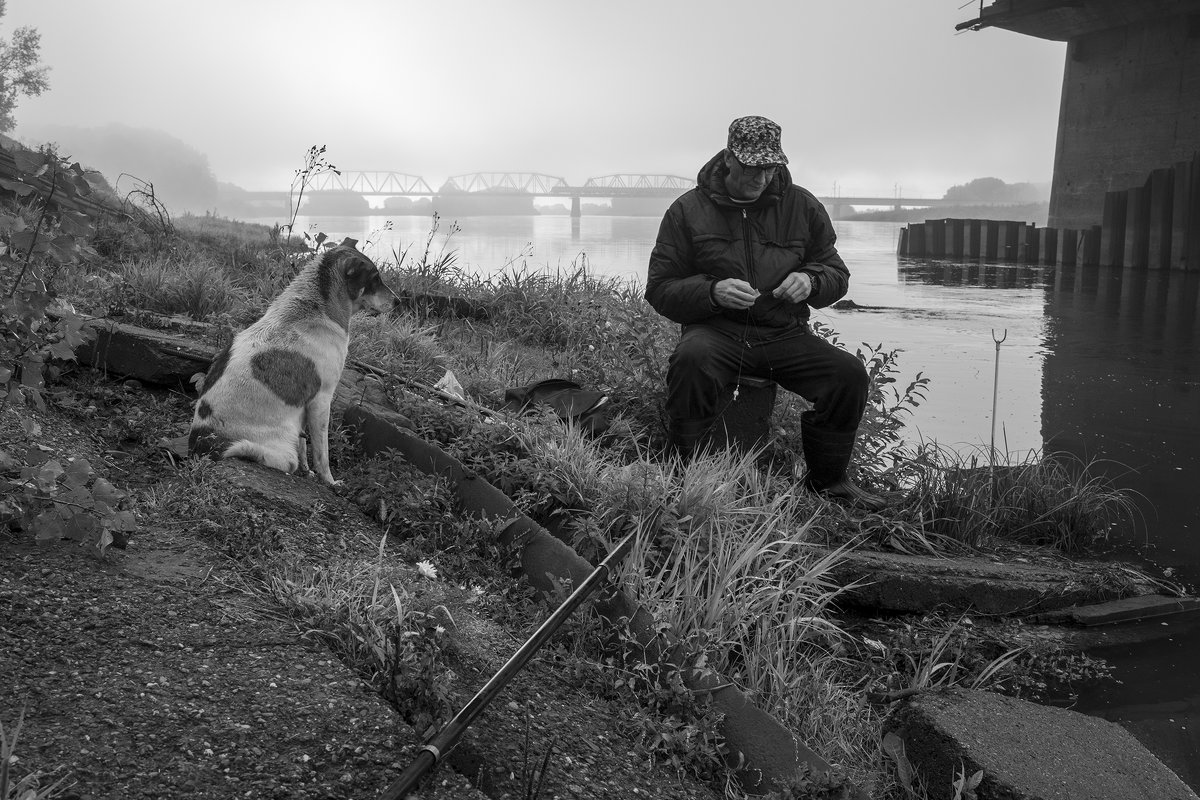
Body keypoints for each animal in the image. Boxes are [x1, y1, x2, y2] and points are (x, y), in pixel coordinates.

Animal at [187, 241, 393, 484]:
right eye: (376, 278)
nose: (398, 300)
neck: (316, 309)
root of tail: (202, 446)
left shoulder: (304, 405)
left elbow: (304, 446)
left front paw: (308, 471)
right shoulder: (321, 400)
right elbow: (322, 454)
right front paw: (330, 482)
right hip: (279, 453)